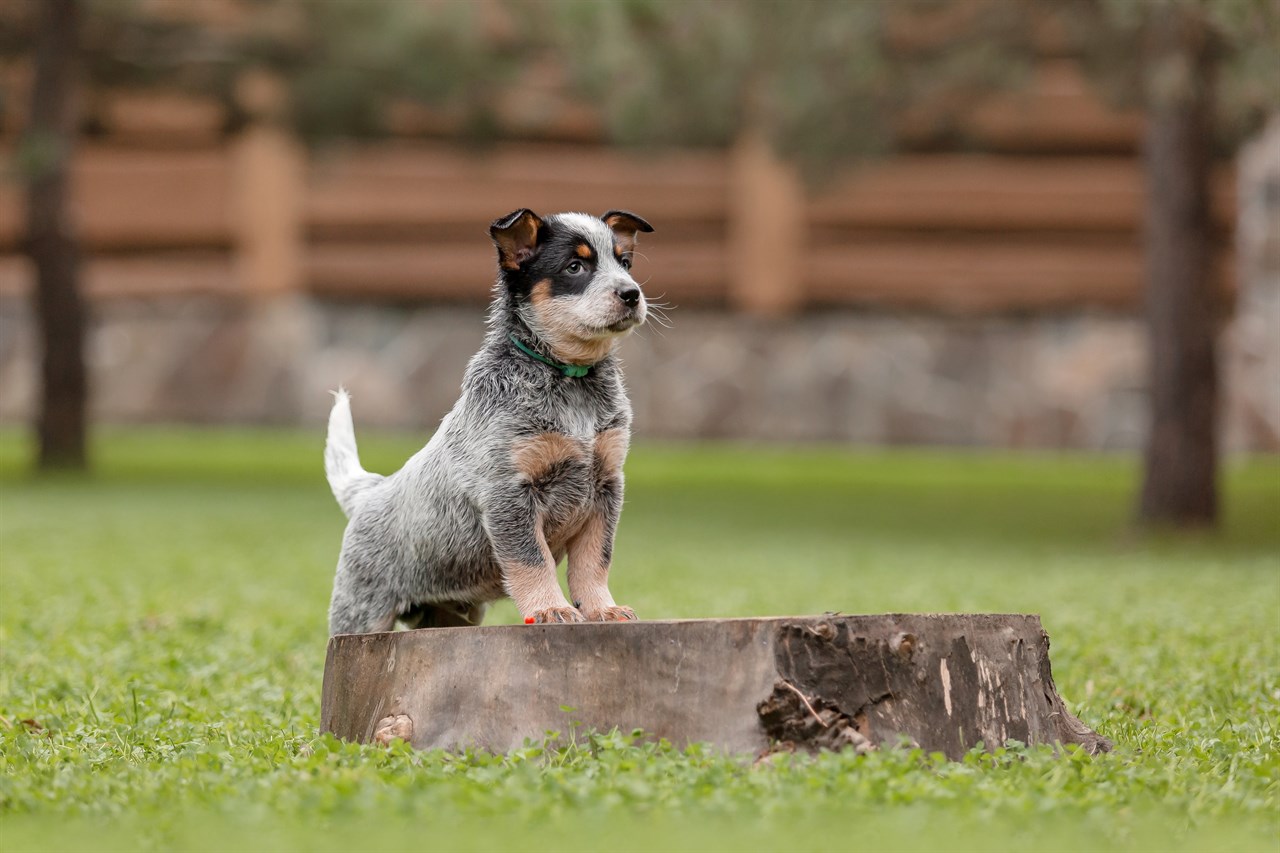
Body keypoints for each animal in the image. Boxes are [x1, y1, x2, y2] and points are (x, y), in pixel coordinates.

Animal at [325, 207, 655, 630]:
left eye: (624, 263)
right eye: (575, 266)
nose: (632, 294)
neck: (568, 377)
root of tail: (369, 491)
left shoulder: (605, 487)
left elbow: (595, 560)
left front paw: (602, 608)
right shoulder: (507, 492)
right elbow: (532, 560)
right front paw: (549, 608)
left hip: (447, 616)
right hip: (360, 614)